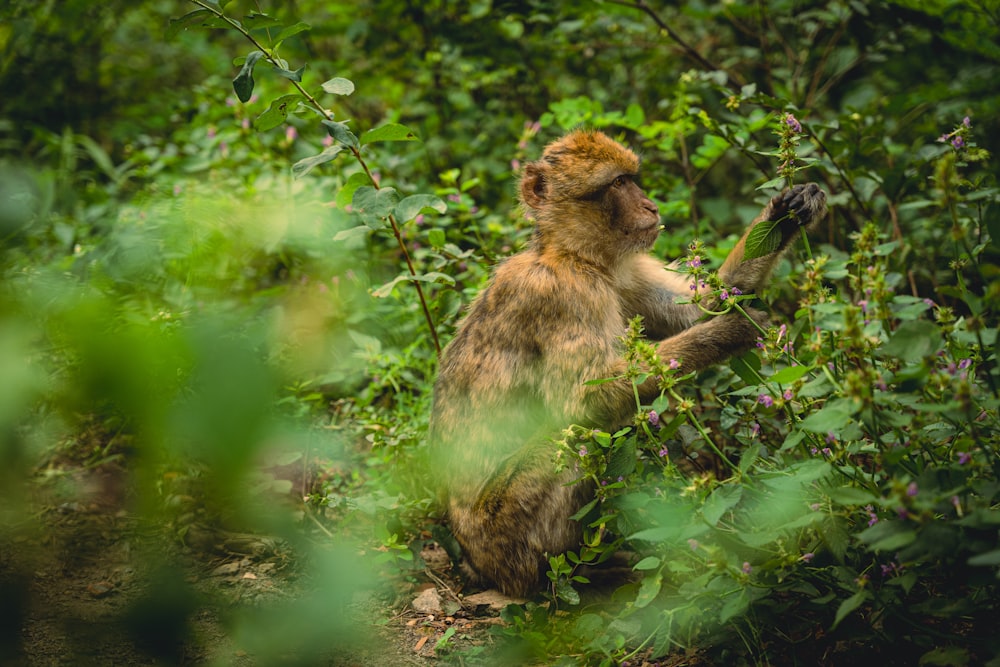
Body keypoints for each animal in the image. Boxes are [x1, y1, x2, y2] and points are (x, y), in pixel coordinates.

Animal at [430, 128, 828, 596]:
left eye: (632, 178)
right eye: (617, 184)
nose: (651, 206)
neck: (575, 256)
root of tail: (473, 558)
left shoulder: (627, 271)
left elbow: (700, 304)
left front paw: (787, 212)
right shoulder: (564, 297)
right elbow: (582, 402)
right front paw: (731, 331)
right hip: (505, 529)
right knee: (568, 440)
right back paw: (556, 578)